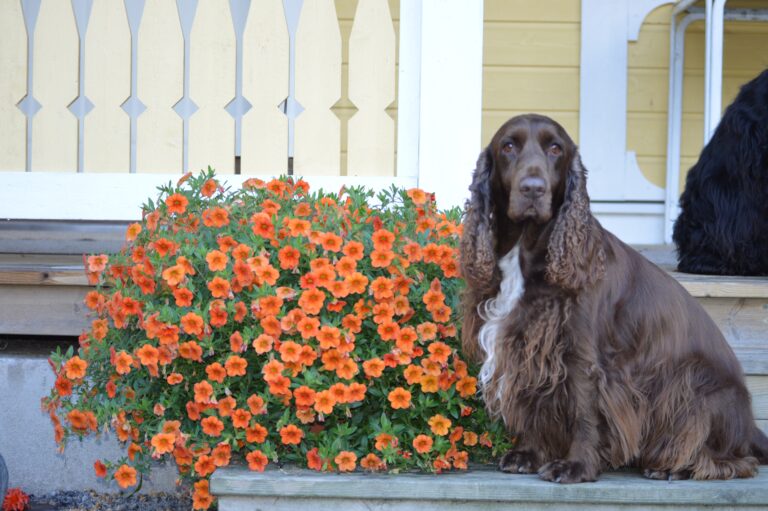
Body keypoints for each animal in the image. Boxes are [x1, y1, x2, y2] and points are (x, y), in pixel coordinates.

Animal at [460, 114, 764, 482]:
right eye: (508, 146)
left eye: (555, 148)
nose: (533, 188)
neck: (527, 251)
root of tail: (751, 423)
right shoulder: (530, 343)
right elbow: (534, 395)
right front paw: (528, 453)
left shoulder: (584, 355)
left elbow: (584, 411)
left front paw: (576, 465)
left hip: (695, 384)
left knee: (738, 459)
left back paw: (676, 467)